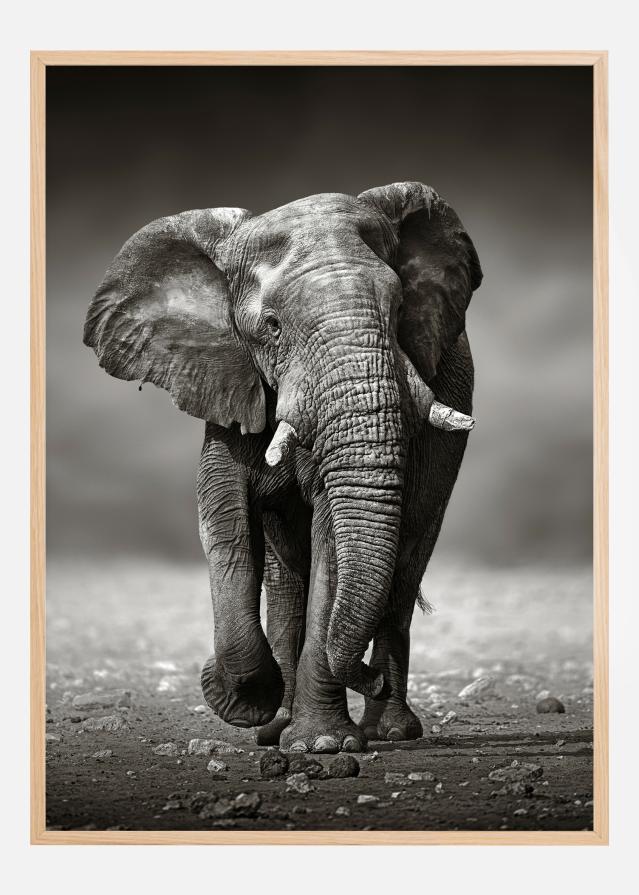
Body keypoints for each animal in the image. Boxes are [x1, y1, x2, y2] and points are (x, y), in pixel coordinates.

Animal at [83, 181, 482, 754]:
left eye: (399, 308)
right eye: (271, 327)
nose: (368, 678)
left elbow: (332, 538)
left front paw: (323, 745)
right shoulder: (229, 381)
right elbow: (224, 520)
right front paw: (246, 701)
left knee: (405, 563)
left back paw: (388, 731)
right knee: (287, 579)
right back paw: (278, 727)